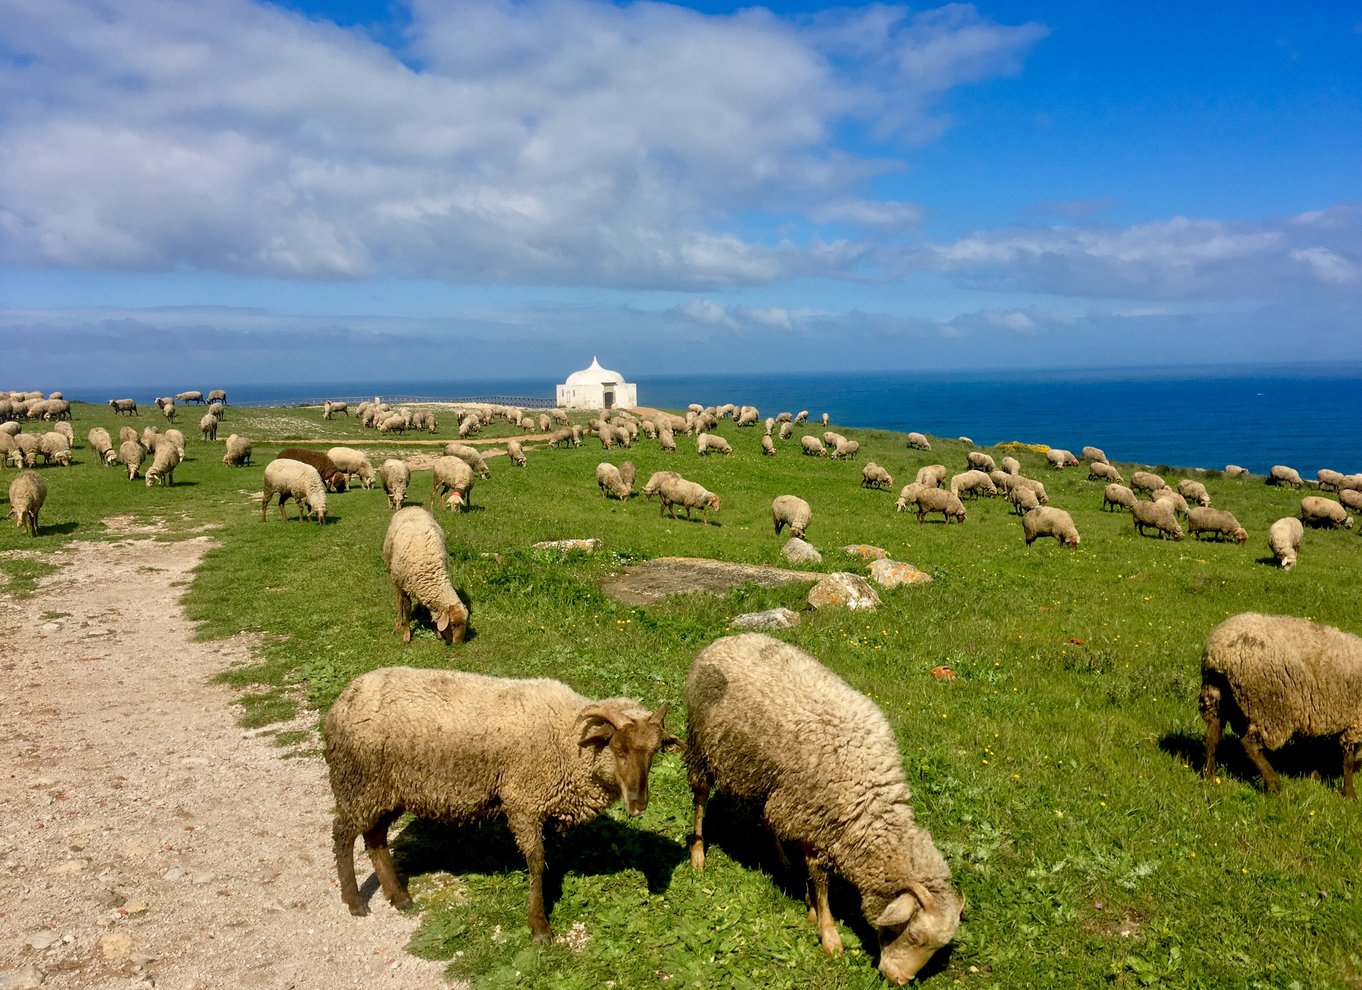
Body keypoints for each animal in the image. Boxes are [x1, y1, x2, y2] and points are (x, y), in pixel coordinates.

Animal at [324, 667, 675, 936]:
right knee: (342, 835)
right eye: (619, 749)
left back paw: (399, 897)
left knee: (375, 839)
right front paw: (539, 926)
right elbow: (535, 862)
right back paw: (354, 901)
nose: (638, 804)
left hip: (385, 790)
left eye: (654, 752)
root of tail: (343, 699)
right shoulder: (524, 802)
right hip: (358, 783)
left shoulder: (546, 807)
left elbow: (549, 858)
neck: (567, 737)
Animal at [384, 506, 468, 645]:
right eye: (452, 624)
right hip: (396, 576)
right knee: (399, 599)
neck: (429, 570)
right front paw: (406, 634)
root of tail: (411, 507)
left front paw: (437, 631)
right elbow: (407, 607)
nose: (458, 644)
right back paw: (398, 622)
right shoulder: (404, 585)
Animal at [686, 634, 964, 985]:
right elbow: (821, 881)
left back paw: (780, 859)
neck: (868, 796)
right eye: (915, 936)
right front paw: (828, 932)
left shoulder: (808, 812)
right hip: (702, 746)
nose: (898, 980)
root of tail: (725, 639)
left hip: (763, 775)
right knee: (700, 799)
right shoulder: (814, 817)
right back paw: (698, 855)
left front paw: (810, 907)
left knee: (766, 817)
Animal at [1204, 612, 1362, 795]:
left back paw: (1209, 776)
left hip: (1216, 697)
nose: (1360, 769)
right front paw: (1350, 794)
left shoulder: (1318, 717)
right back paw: (1273, 784)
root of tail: (1219, 652)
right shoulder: (1355, 723)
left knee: (1212, 736)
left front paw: (1315, 778)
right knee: (1249, 745)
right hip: (1271, 710)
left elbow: (1315, 751)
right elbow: (1347, 762)